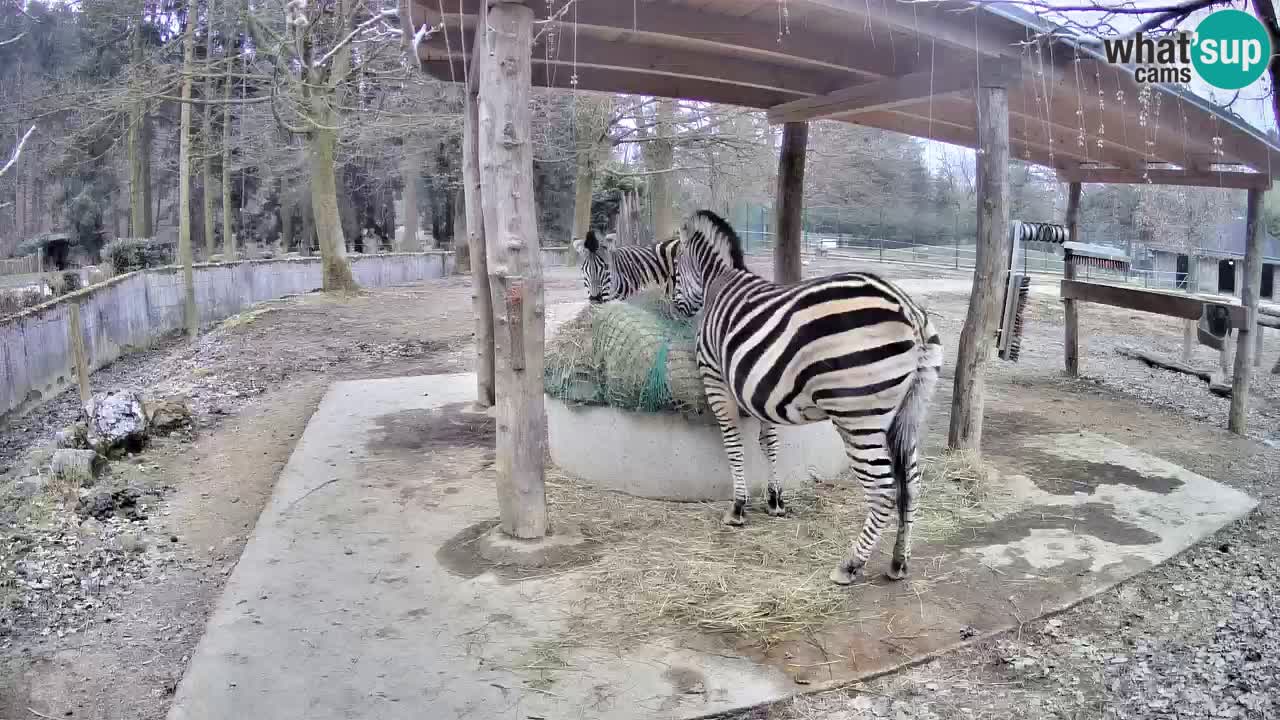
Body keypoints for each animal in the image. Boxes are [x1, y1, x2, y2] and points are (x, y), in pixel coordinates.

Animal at [670, 207, 942, 584]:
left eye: (675, 269)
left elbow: (733, 444)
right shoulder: (760, 389)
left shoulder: (716, 378)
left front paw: (738, 507)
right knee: (911, 484)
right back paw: (899, 562)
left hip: (858, 417)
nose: (675, 309)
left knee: (884, 488)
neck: (719, 282)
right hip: (909, 413)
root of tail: (909, 309)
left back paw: (850, 564)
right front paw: (774, 500)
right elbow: (768, 442)